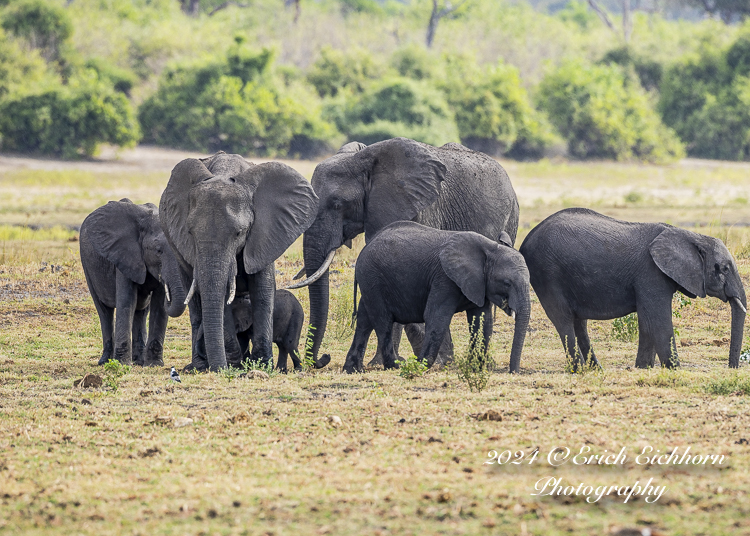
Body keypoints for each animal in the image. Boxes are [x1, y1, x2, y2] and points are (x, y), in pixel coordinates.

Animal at [79, 199, 188, 366]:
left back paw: (139, 362)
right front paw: (122, 364)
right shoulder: (124, 256)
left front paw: (154, 365)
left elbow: (158, 306)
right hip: (87, 266)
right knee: (104, 311)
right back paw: (105, 361)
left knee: (141, 312)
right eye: (158, 250)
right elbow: (127, 301)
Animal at [160, 151, 318, 370]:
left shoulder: (265, 233)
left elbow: (262, 289)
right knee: (195, 303)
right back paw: (199, 366)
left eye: (239, 233)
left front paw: (262, 364)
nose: (220, 368)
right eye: (190, 233)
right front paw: (235, 365)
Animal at [344, 221, 532, 372]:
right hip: (373, 278)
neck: (489, 248)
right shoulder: (444, 279)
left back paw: (353, 370)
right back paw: (395, 367)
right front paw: (419, 366)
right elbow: (436, 317)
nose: (513, 372)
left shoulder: (479, 284)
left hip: (370, 282)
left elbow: (482, 320)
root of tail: (365, 249)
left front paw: (476, 367)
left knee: (364, 320)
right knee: (383, 321)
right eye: (507, 283)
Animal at [520, 208, 748, 368]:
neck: (691, 236)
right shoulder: (651, 274)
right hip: (548, 273)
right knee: (564, 319)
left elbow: (647, 322)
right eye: (724, 268)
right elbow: (659, 321)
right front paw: (674, 369)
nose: (732, 368)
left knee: (579, 323)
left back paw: (595, 370)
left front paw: (643, 368)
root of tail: (526, 240)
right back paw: (579, 369)